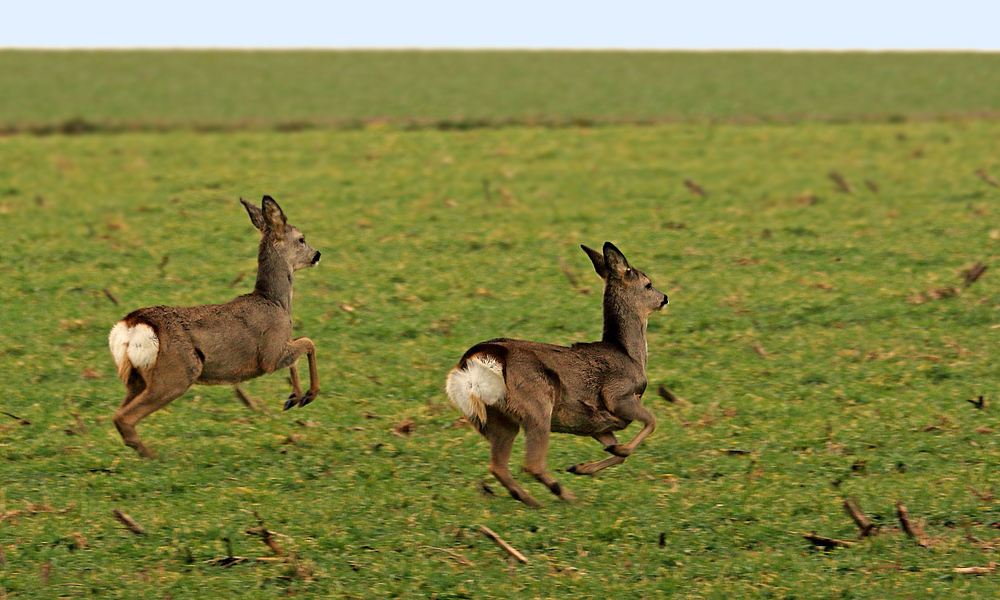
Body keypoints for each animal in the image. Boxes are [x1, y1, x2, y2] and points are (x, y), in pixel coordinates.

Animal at [109, 196, 320, 454]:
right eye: (302, 239)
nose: (317, 255)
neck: (275, 302)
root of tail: (131, 325)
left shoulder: (280, 347)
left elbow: (298, 349)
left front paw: (294, 397)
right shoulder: (269, 355)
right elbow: (308, 343)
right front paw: (307, 395)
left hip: (136, 378)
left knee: (119, 414)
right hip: (177, 372)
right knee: (125, 418)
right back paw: (154, 456)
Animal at [444, 243, 664, 506]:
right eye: (648, 284)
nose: (664, 298)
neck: (629, 354)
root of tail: (472, 363)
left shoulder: (595, 424)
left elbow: (618, 450)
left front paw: (581, 467)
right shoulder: (618, 394)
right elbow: (651, 422)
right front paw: (612, 452)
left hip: (496, 419)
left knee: (498, 466)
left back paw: (532, 499)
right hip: (537, 405)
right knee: (532, 464)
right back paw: (565, 496)